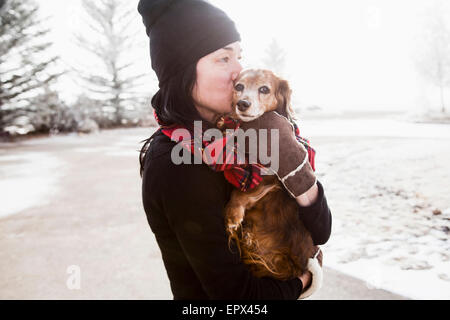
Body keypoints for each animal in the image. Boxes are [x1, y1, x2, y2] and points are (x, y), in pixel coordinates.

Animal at [219, 69, 318, 282]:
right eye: (238, 86)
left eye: (264, 89)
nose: (242, 104)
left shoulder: (269, 175)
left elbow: (241, 192)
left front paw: (232, 214)